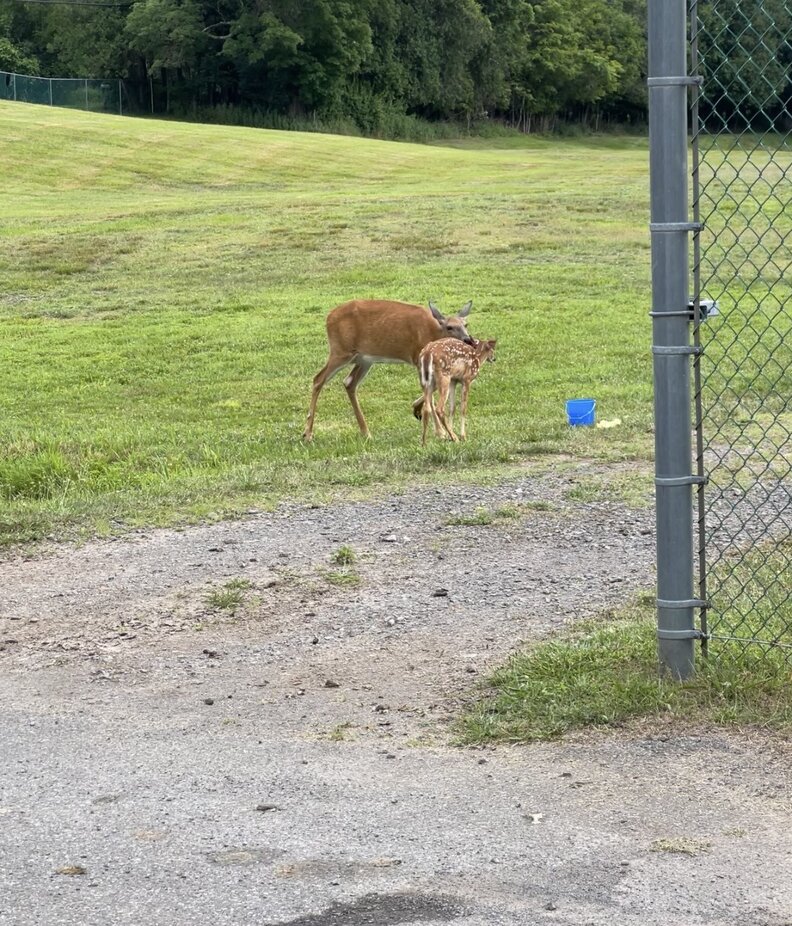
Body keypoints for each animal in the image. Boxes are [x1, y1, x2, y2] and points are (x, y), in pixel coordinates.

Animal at [303, 299, 473, 441]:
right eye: (450, 327)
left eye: (466, 325)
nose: (468, 340)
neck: (433, 332)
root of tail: (328, 318)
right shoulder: (417, 359)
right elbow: (430, 393)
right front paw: (441, 432)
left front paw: (417, 410)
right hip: (341, 351)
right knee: (318, 379)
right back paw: (308, 433)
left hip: (364, 359)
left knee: (349, 382)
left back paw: (366, 432)